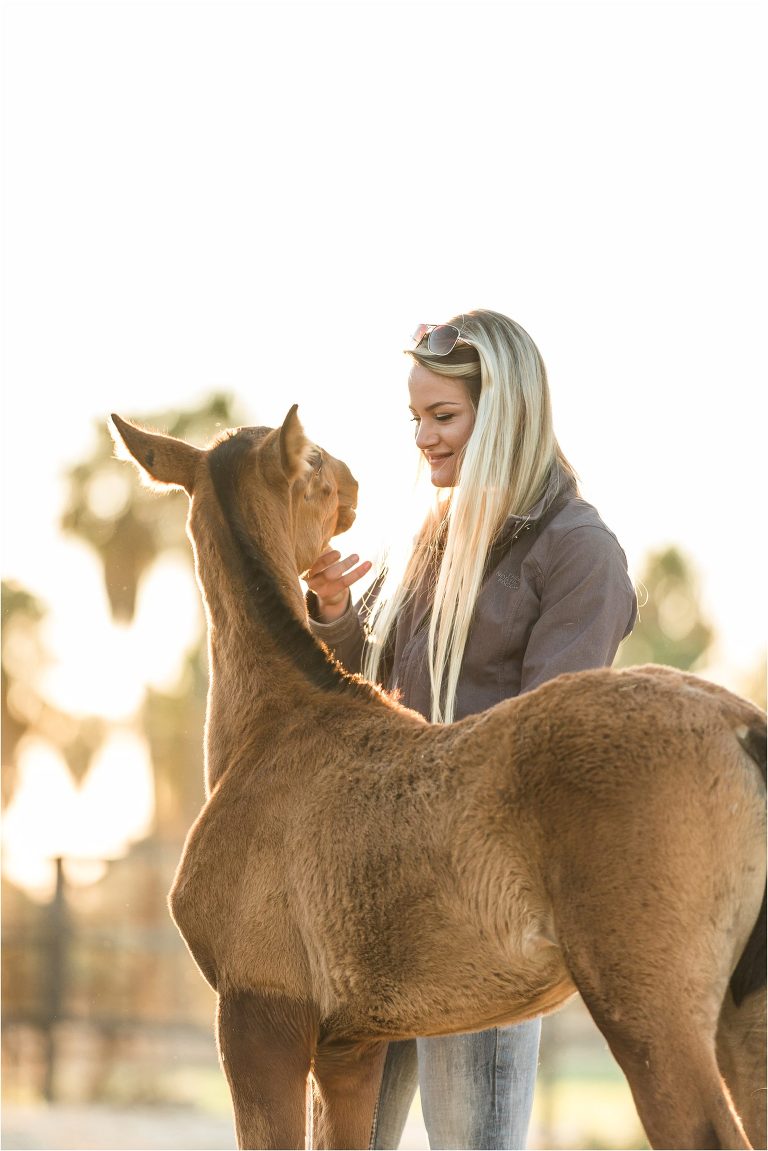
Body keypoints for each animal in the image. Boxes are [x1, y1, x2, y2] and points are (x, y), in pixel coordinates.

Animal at [110, 407, 766, 1150]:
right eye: (315, 465)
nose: (354, 479)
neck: (276, 727)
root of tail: (742, 726)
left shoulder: (259, 1015)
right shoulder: (352, 1046)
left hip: (651, 1010)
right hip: (743, 1015)